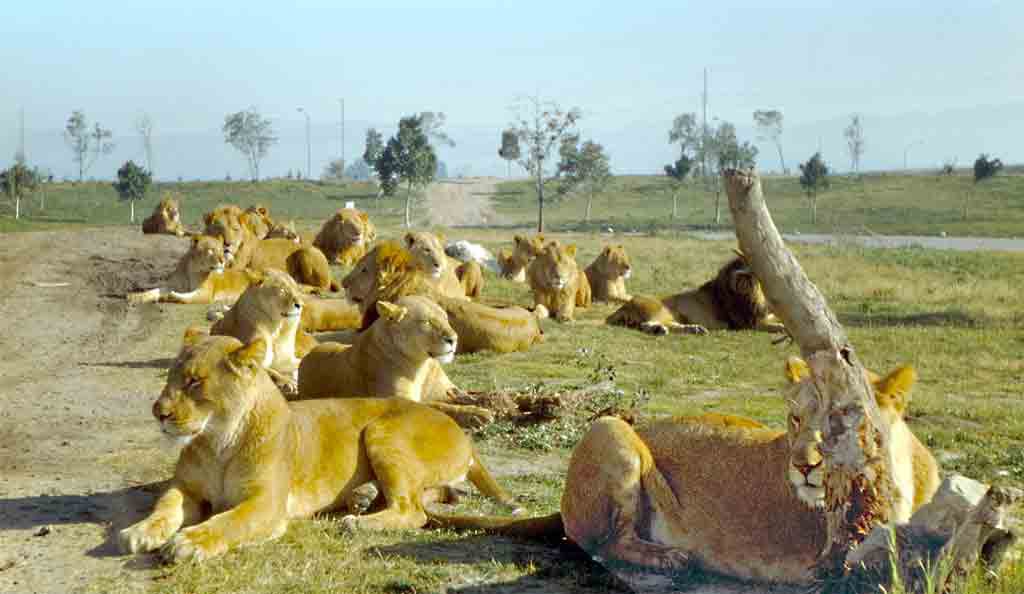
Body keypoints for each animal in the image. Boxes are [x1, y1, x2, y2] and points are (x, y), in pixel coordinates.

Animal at [118, 332, 516, 563]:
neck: (217, 441)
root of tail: (459, 431)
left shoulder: (267, 503)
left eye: (194, 382)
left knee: (413, 510)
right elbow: (164, 507)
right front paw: (140, 531)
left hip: (382, 430)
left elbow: (228, 521)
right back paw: (362, 497)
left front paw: (189, 542)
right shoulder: (184, 488)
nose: (158, 412)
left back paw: (358, 521)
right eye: (170, 377)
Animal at [127, 235, 261, 305]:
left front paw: (169, 296)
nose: (223, 261)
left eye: (222, 250)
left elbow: (186, 297)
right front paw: (133, 297)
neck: (190, 271)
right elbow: (153, 291)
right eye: (211, 250)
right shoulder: (171, 285)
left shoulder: (205, 293)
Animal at [430, 359, 939, 585]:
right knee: (601, 543)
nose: (802, 465)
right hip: (611, 430)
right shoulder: (831, 563)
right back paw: (671, 558)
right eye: (795, 419)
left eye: (842, 420)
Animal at [607, 253, 784, 335]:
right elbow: (777, 326)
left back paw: (693, 329)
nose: (744, 280)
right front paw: (782, 328)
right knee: (647, 324)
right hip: (662, 309)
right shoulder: (748, 324)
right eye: (744, 275)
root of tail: (623, 307)